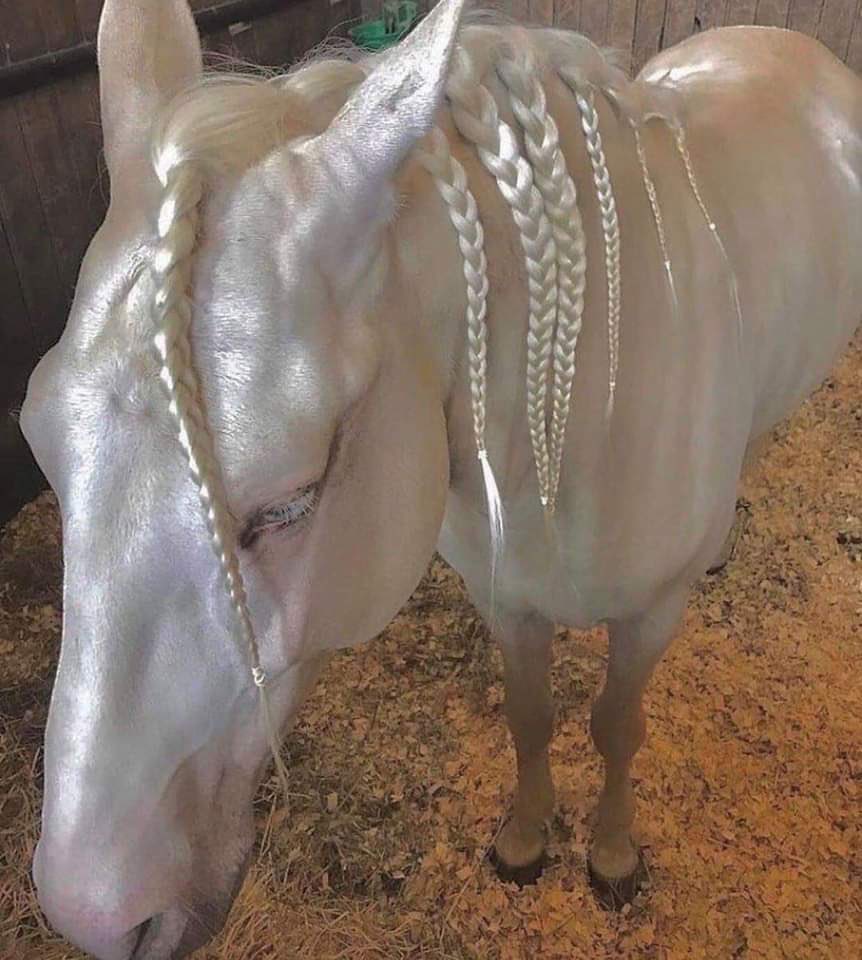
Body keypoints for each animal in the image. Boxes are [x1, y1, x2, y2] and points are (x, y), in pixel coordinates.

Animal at [19, 0, 862, 956]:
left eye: (290, 504)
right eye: (42, 443)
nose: (95, 915)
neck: (582, 424)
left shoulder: (651, 616)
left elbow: (616, 728)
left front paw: (612, 855)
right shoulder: (508, 599)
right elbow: (531, 717)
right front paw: (526, 839)